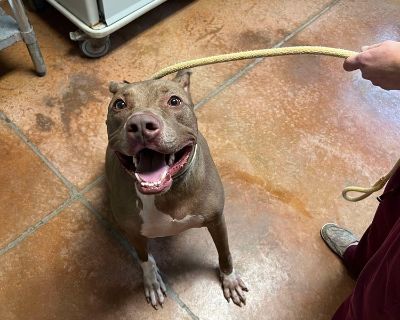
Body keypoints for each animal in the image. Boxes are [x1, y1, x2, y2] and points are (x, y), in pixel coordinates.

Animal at [105, 70, 247, 308]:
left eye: (174, 101)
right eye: (119, 104)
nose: (141, 124)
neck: (165, 194)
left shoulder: (217, 220)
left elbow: (225, 252)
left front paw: (230, 279)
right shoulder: (133, 230)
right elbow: (143, 257)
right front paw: (151, 280)